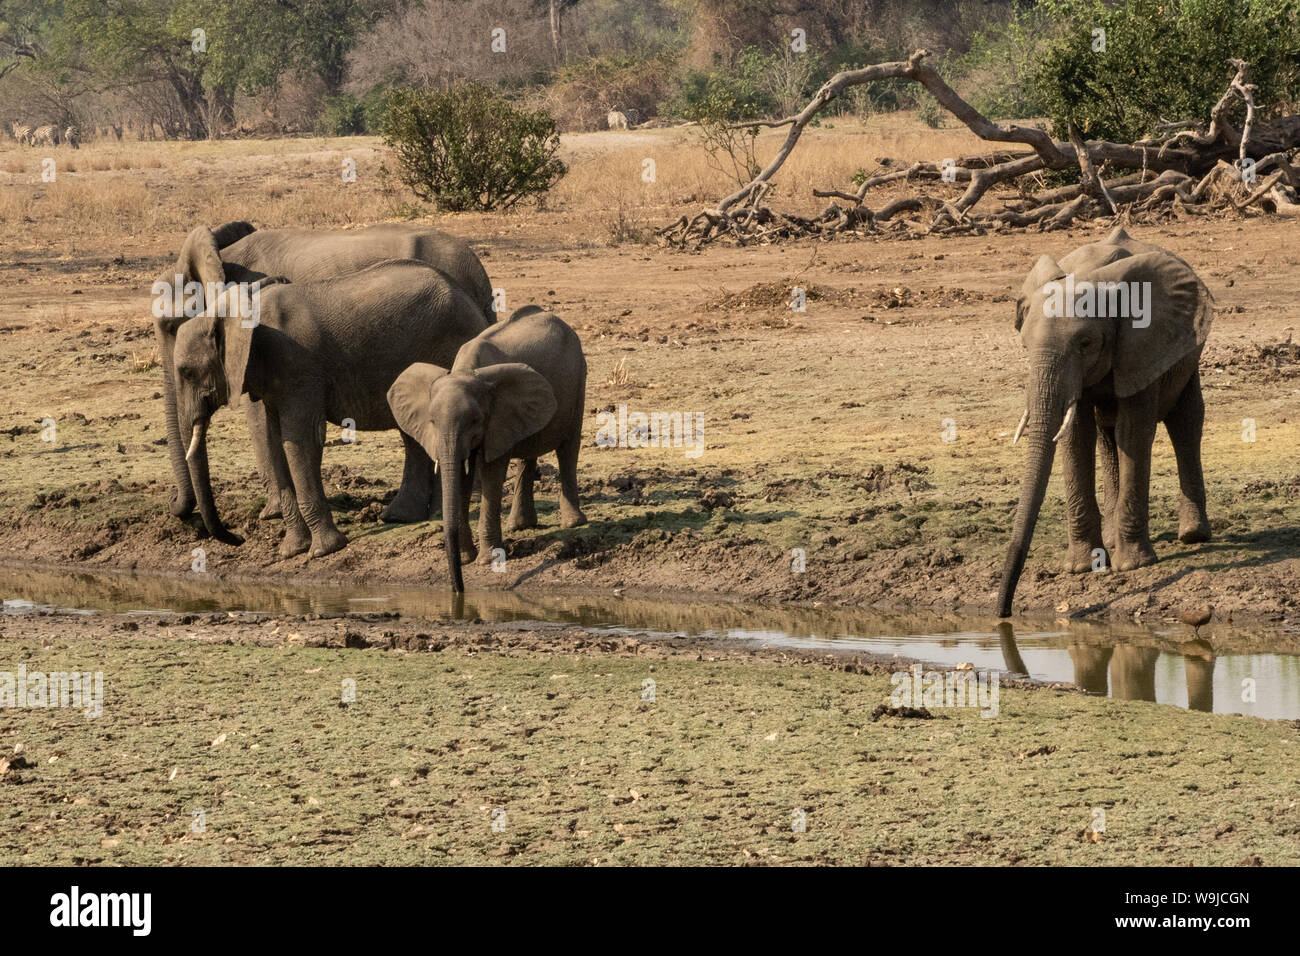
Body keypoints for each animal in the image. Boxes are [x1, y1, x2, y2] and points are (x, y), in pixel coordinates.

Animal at [152, 225, 493, 538]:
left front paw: (271, 514)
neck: (219, 255)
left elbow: (263, 421)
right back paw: (403, 514)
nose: (175, 506)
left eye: (170, 327)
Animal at [387, 306, 587, 590]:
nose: (458, 589)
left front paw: (486, 560)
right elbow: (461, 476)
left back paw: (573, 523)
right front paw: (464, 557)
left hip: (578, 377)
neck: (466, 371)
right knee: (528, 453)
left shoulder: (497, 418)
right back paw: (520, 526)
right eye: (432, 422)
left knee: (568, 447)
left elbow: (492, 473)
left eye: (475, 421)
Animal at [993, 231, 1216, 616]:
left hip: (1185, 351)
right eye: (1025, 345)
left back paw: (1192, 536)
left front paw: (1134, 565)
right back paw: (1112, 539)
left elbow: (1135, 431)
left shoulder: (1144, 343)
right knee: (1105, 433)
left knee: (1185, 422)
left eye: (1085, 343)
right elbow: (1076, 436)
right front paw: (1084, 567)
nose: (1003, 613)